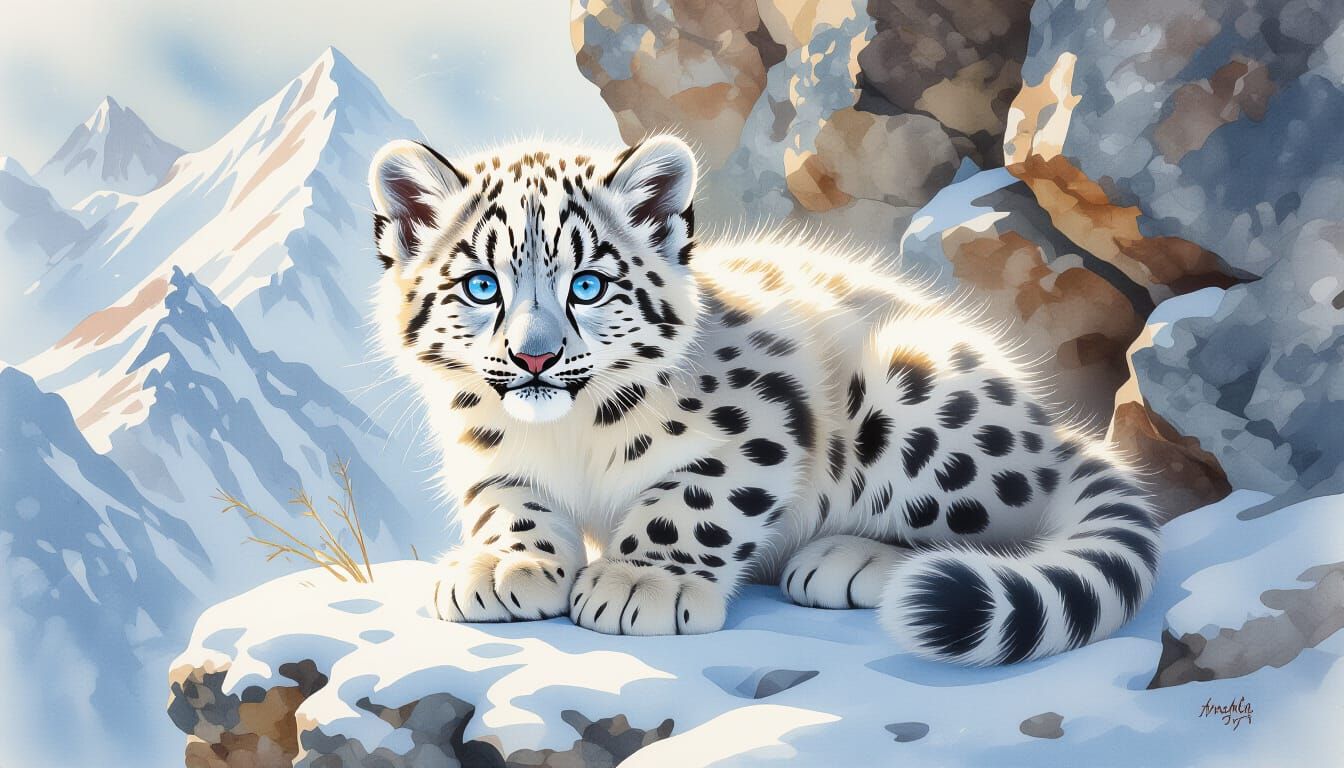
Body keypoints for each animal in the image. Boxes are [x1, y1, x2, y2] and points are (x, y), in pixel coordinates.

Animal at [367, 134, 1160, 665]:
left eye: (587, 285)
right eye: (482, 285)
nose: (535, 357)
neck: (567, 434)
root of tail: (1050, 425)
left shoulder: (761, 424)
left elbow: (695, 502)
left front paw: (638, 581)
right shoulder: (484, 453)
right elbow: (509, 501)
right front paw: (503, 567)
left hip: (911, 394)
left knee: (997, 518)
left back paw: (852, 560)